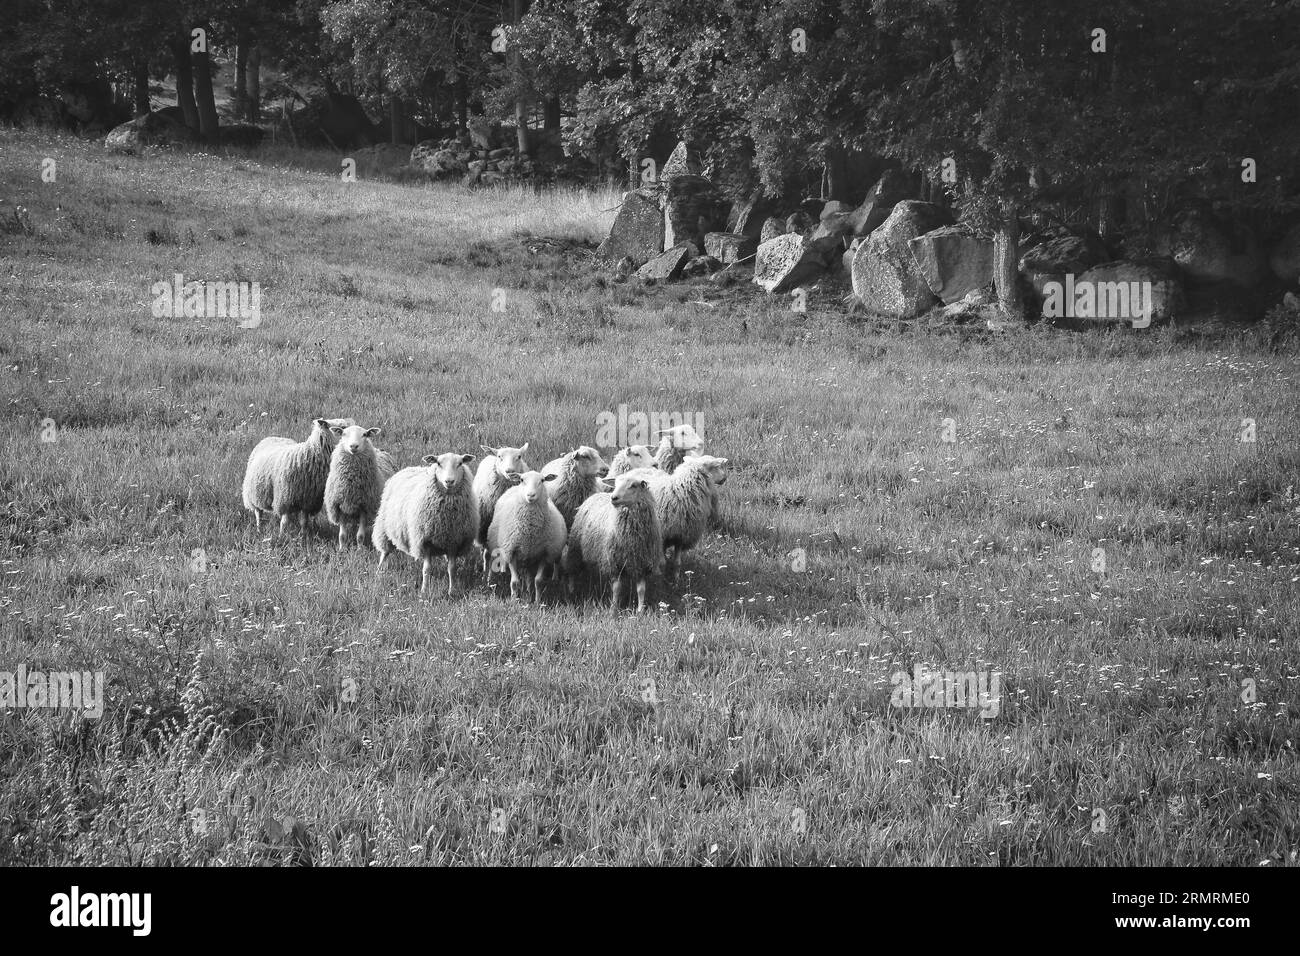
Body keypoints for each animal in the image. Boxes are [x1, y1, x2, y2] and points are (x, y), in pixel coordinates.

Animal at [371, 452, 478, 595]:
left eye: (460, 463)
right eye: (438, 463)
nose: (449, 481)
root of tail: (409, 468)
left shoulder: (453, 542)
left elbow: (452, 569)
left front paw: (452, 591)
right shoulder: (425, 541)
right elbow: (426, 569)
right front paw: (424, 591)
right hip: (384, 527)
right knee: (385, 552)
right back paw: (378, 572)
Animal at [470, 444, 530, 572]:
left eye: (519, 456)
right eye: (499, 456)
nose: (509, 471)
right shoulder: (484, 529)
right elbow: (487, 555)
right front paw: (485, 574)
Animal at [488, 468, 564, 598]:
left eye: (542, 480)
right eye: (522, 479)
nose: (530, 495)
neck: (530, 532)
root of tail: (513, 487)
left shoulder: (544, 554)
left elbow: (538, 581)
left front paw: (538, 600)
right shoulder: (510, 552)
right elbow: (514, 582)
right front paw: (514, 600)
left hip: (533, 556)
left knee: (530, 575)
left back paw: (530, 591)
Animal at [561, 470, 660, 613]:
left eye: (633, 486)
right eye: (616, 484)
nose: (614, 498)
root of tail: (597, 494)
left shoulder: (642, 562)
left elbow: (641, 589)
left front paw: (640, 610)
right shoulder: (614, 561)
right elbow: (617, 588)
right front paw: (613, 609)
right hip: (576, 548)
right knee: (572, 569)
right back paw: (571, 590)